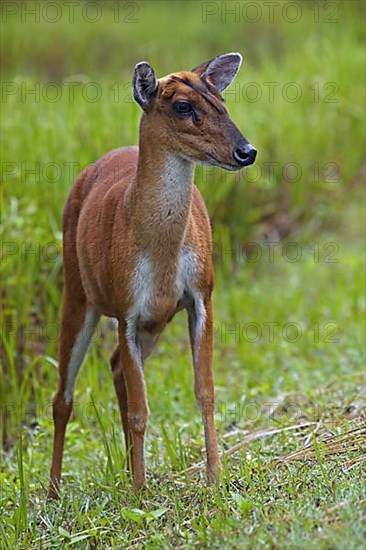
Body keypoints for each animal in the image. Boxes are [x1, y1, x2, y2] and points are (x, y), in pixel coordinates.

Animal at [47, 52, 256, 500]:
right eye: (183, 106)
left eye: (220, 99)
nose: (246, 151)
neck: (159, 252)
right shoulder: (127, 309)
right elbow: (141, 410)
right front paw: (142, 494)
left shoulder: (201, 295)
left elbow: (205, 390)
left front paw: (215, 478)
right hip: (78, 291)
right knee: (63, 396)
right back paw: (54, 491)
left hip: (155, 323)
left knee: (115, 368)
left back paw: (129, 469)